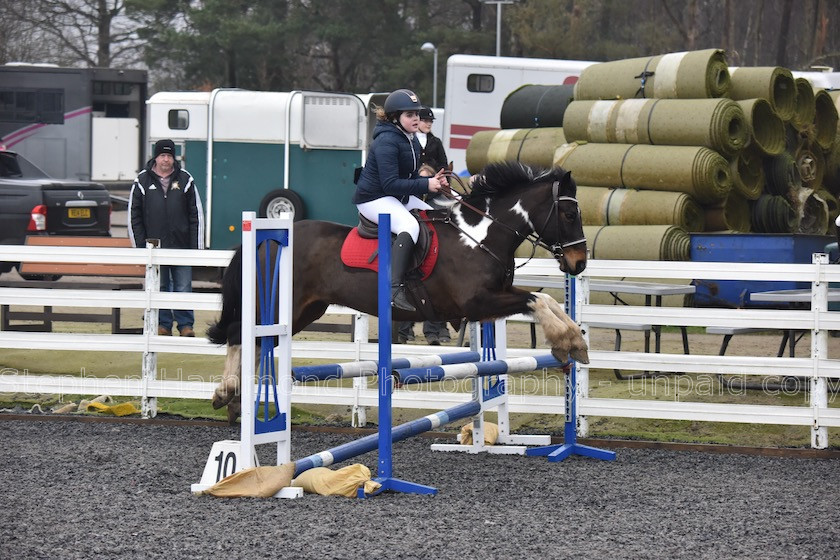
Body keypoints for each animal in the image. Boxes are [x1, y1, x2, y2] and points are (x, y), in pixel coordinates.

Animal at [210, 162, 592, 420]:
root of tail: (266, 239)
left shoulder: (493, 298)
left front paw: (574, 343)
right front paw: (567, 341)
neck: (479, 236)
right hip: (280, 304)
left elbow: (547, 299)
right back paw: (226, 393)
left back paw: (238, 402)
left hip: (306, 309)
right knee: (240, 333)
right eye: (569, 214)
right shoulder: (477, 302)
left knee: (259, 343)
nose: (578, 263)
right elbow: (537, 299)